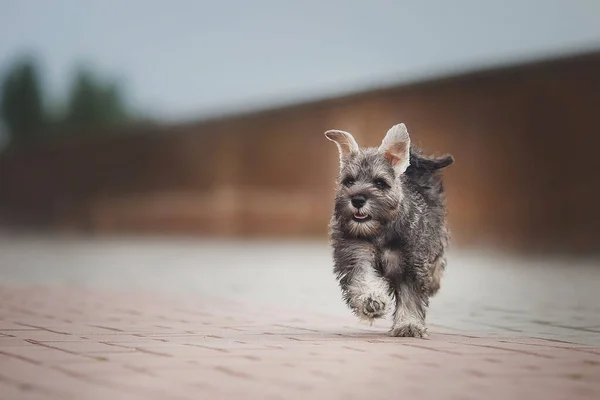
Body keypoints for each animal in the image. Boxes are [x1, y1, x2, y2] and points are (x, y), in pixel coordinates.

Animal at [326, 122, 452, 338]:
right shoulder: (356, 255)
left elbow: (410, 295)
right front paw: (372, 301)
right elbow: (364, 278)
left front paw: (409, 325)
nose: (357, 200)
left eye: (379, 183)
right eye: (349, 181)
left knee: (438, 261)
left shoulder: (411, 264)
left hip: (435, 235)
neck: (380, 231)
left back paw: (434, 281)